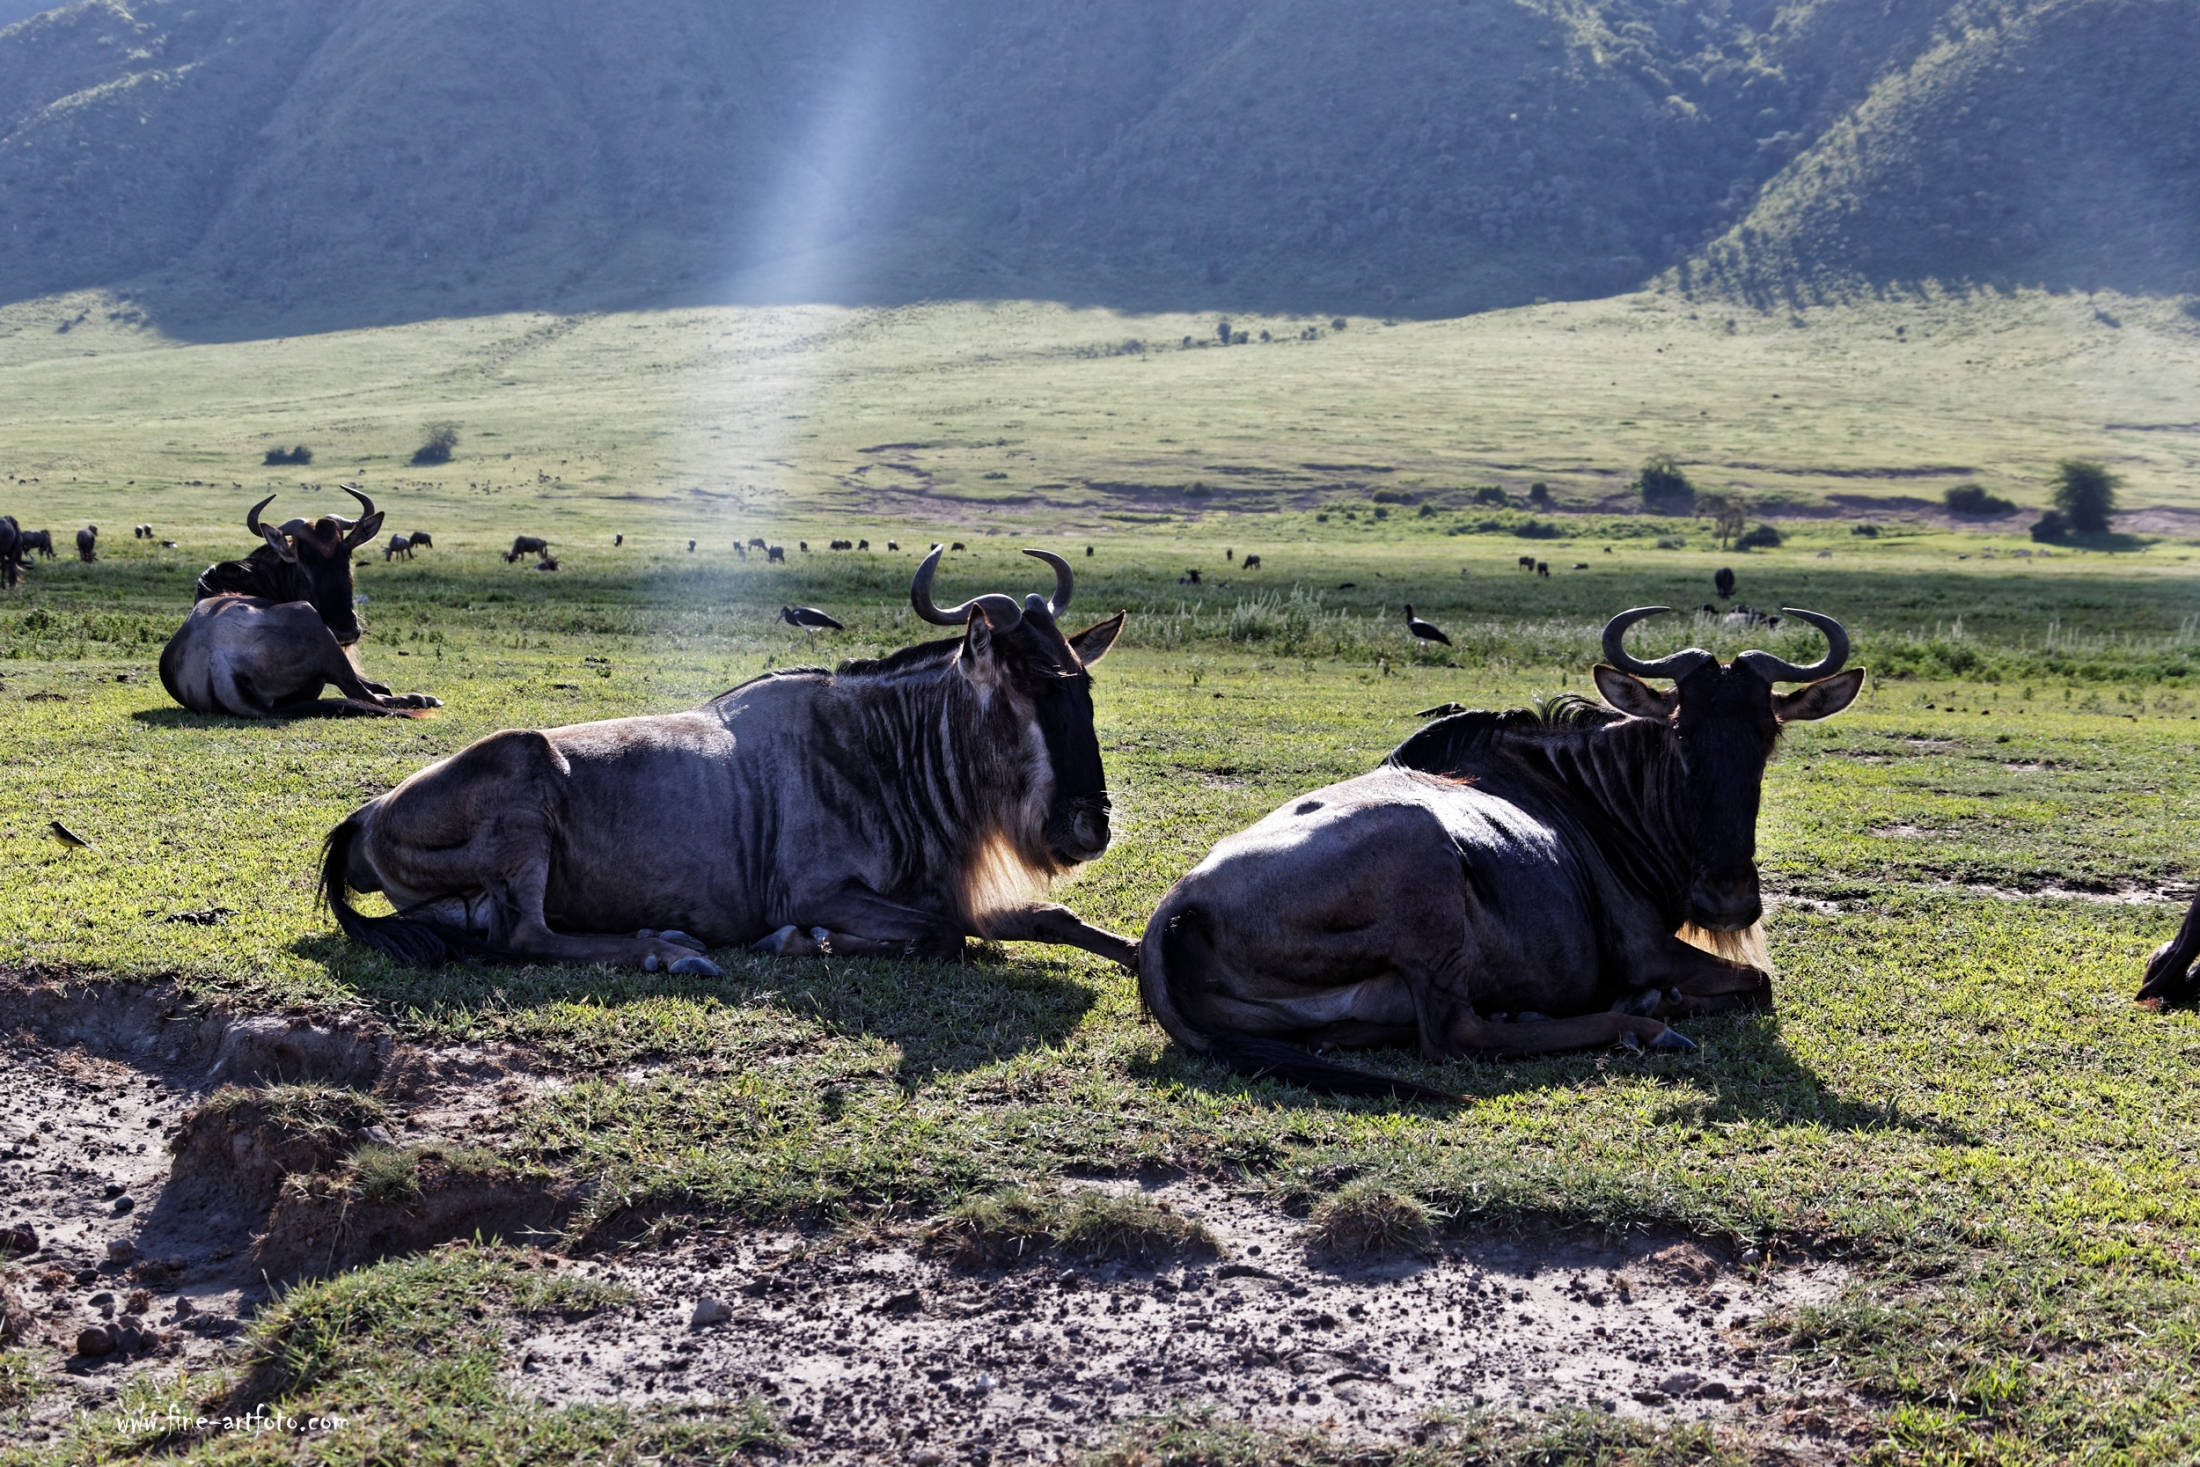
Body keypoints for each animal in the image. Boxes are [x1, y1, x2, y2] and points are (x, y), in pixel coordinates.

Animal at [162, 490, 441, 719]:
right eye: (303, 558)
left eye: (347, 552)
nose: (345, 630)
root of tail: (220, 670)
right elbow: (374, 686)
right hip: (315, 625)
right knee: (366, 695)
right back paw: (421, 698)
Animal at [316, 546, 1134, 976]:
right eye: (1022, 691)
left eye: (1079, 686)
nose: (1088, 826)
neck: (882, 752)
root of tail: (367, 816)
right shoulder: (818, 890)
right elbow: (939, 936)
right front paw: (803, 940)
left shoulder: (945, 891)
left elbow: (1056, 917)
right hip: (523, 788)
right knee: (525, 937)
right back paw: (669, 951)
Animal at [1134, 606, 1864, 1097]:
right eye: (1681, 732)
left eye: (1769, 735)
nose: (1727, 900)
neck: (1590, 795)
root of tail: (1179, 906)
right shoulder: (1647, 948)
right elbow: (1757, 985)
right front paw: (1657, 1003)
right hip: (1426, 870)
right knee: (1458, 1035)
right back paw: (1641, 1023)